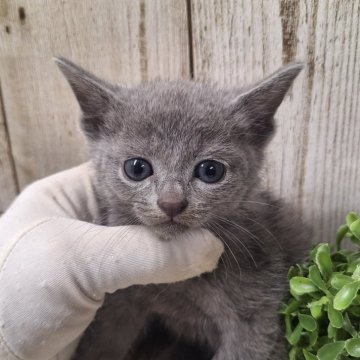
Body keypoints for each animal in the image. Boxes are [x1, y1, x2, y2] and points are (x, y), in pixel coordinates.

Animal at [55, 57, 310, 358]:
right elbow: (103, 341)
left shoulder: (256, 314)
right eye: (137, 168)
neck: (177, 283)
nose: (171, 202)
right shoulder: (119, 301)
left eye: (211, 171)